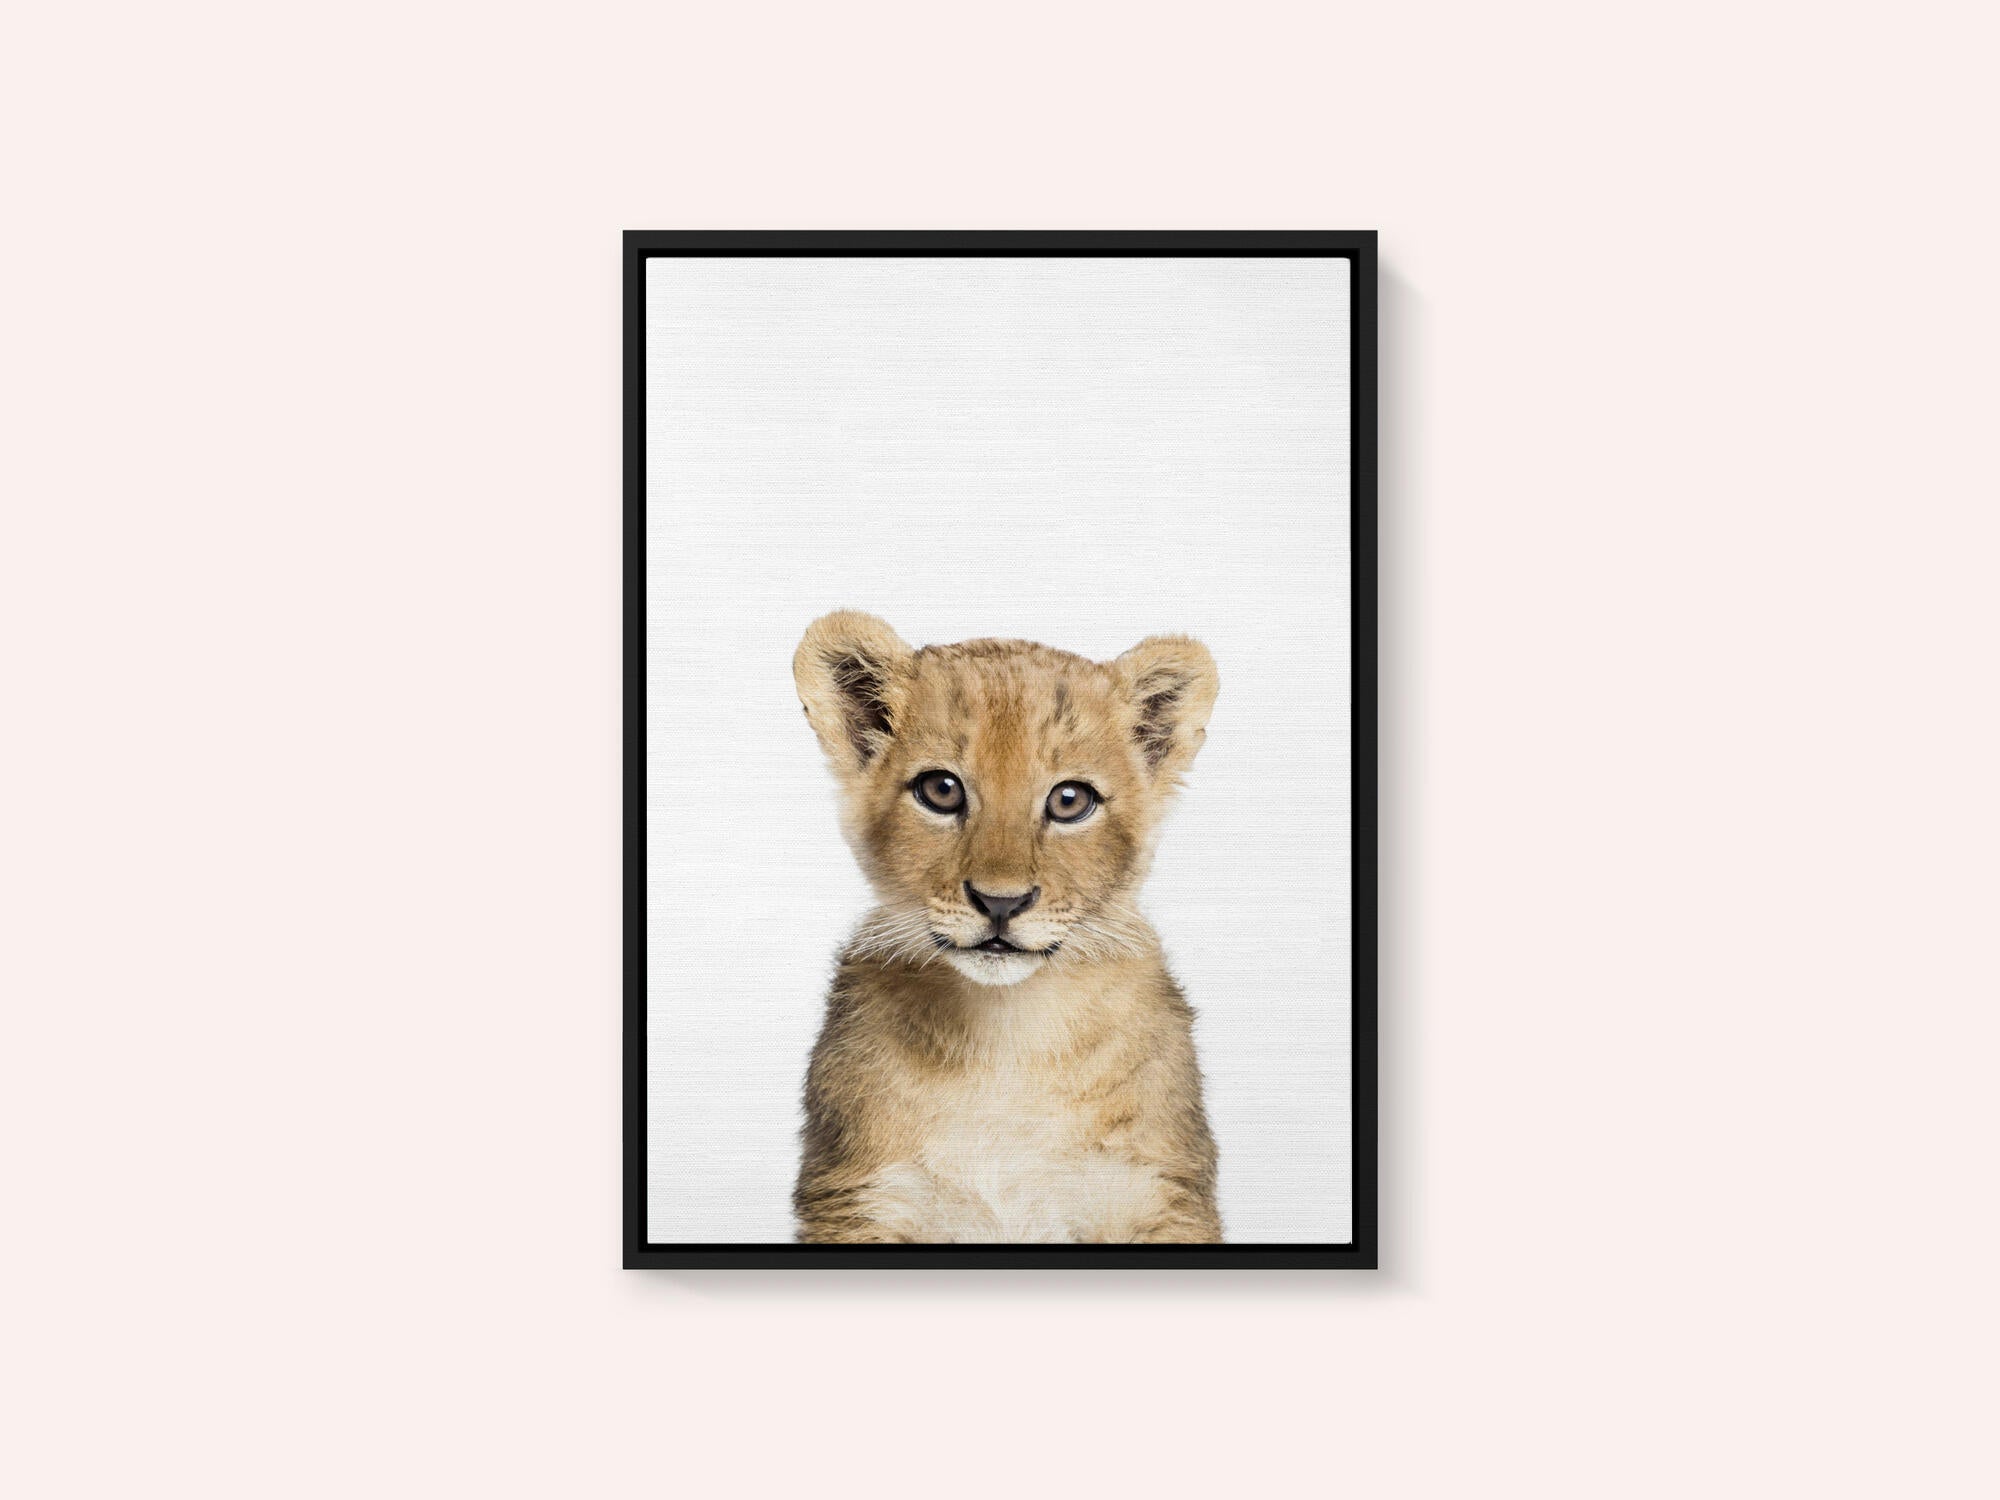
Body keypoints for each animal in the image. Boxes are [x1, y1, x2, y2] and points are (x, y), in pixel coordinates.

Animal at [790, 611, 1223, 1244]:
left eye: (1070, 800)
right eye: (941, 790)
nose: (1000, 903)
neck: (1006, 1036)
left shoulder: (1159, 1194)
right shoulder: (859, 1198)